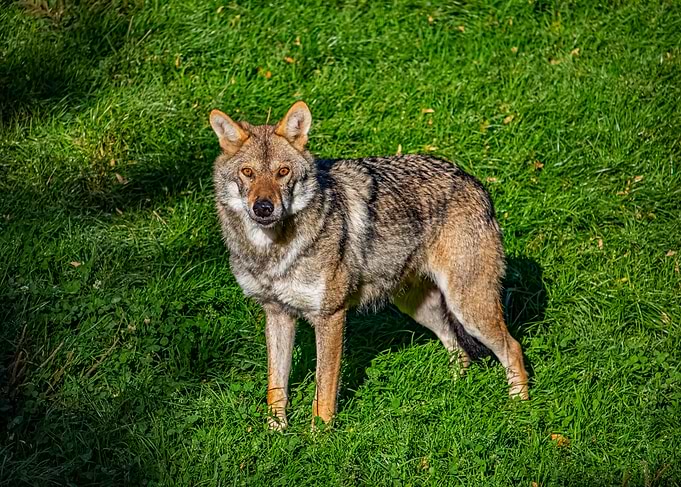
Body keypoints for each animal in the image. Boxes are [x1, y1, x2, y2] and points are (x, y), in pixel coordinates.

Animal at [209, 101, 528, 429]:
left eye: (282, 172)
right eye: (248, 173)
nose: (263, 207)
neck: (273, 252)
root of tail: (475, 183)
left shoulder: (330, 317)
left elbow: (324, 390)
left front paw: (318, 435)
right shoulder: (277, 313)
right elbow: (276, 386)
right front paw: (275, 432)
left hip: (469, 308)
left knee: (513, 348)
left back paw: (520, 407)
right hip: (421, 309)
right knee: (460, 351)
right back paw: (452, 394)